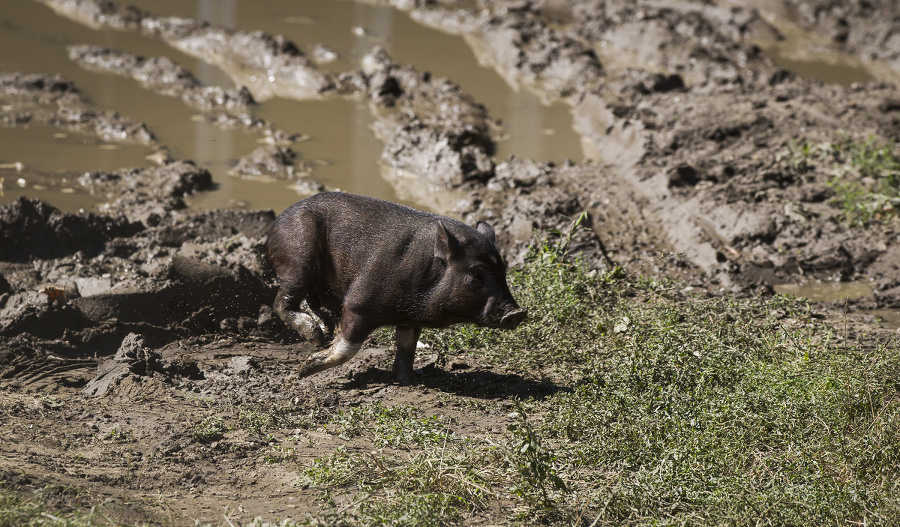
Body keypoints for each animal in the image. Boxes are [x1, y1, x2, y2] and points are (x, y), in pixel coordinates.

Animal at [264, 192, 524, 386]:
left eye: (503, 271)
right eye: (476, 276)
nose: (517, 312)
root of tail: (277, 222)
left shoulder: (409, 319)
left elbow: (407, 348)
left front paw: (411, 382)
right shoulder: (358, 304)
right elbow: (348, 346)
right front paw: (304, 369)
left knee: (308, 300)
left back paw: (323, 330)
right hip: (298, 261)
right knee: (282, 302)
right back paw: (316, 337)